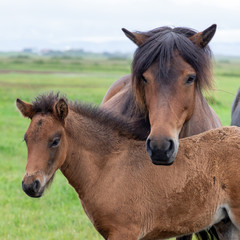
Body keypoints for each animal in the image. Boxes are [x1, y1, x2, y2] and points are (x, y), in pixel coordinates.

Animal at [17, 93, 240, 239]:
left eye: (55, 141)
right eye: (26, 139)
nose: (30, 185)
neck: (107, 167)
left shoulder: (124, 232)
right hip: (226, 224)